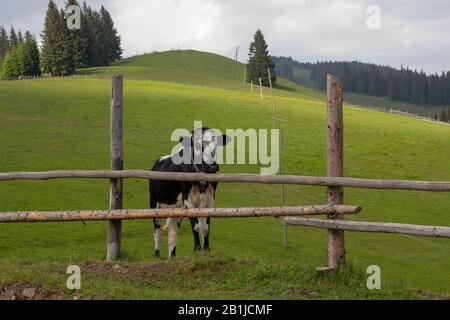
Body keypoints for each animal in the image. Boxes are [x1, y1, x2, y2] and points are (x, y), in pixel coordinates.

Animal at [150, 127, 230, 258]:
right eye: (197, 145)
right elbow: (196, 226)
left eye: (217, 144)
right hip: (155, 204)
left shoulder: (209, 201)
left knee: (173, 232)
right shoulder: (189, 202)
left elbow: (206, 228)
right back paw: (157, 255)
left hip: (176, 208)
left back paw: (172, 257)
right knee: (157, 231)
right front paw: (197, 250)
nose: (212, 167)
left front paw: (206, 250)